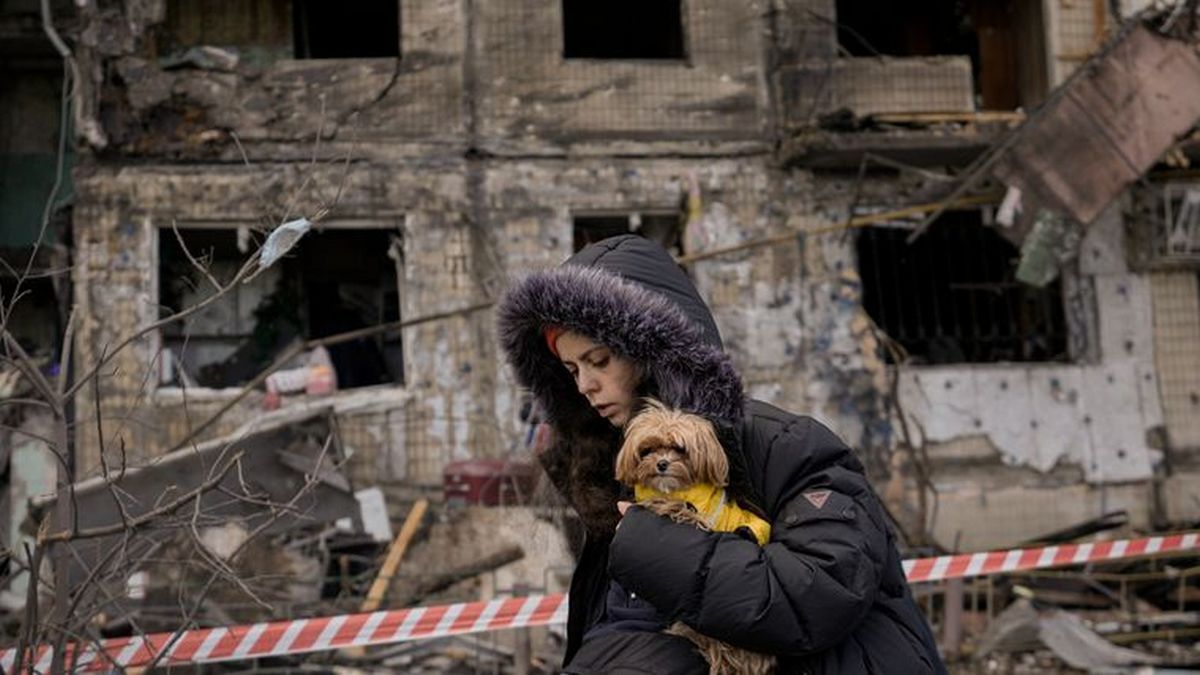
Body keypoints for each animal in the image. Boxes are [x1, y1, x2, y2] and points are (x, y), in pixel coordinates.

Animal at [619, 398, 777, 672]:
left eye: (680, 449)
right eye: (648, 449)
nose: (662, 464)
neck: (676, 490)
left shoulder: (698, 516)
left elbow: (683, 511)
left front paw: (662, 505)